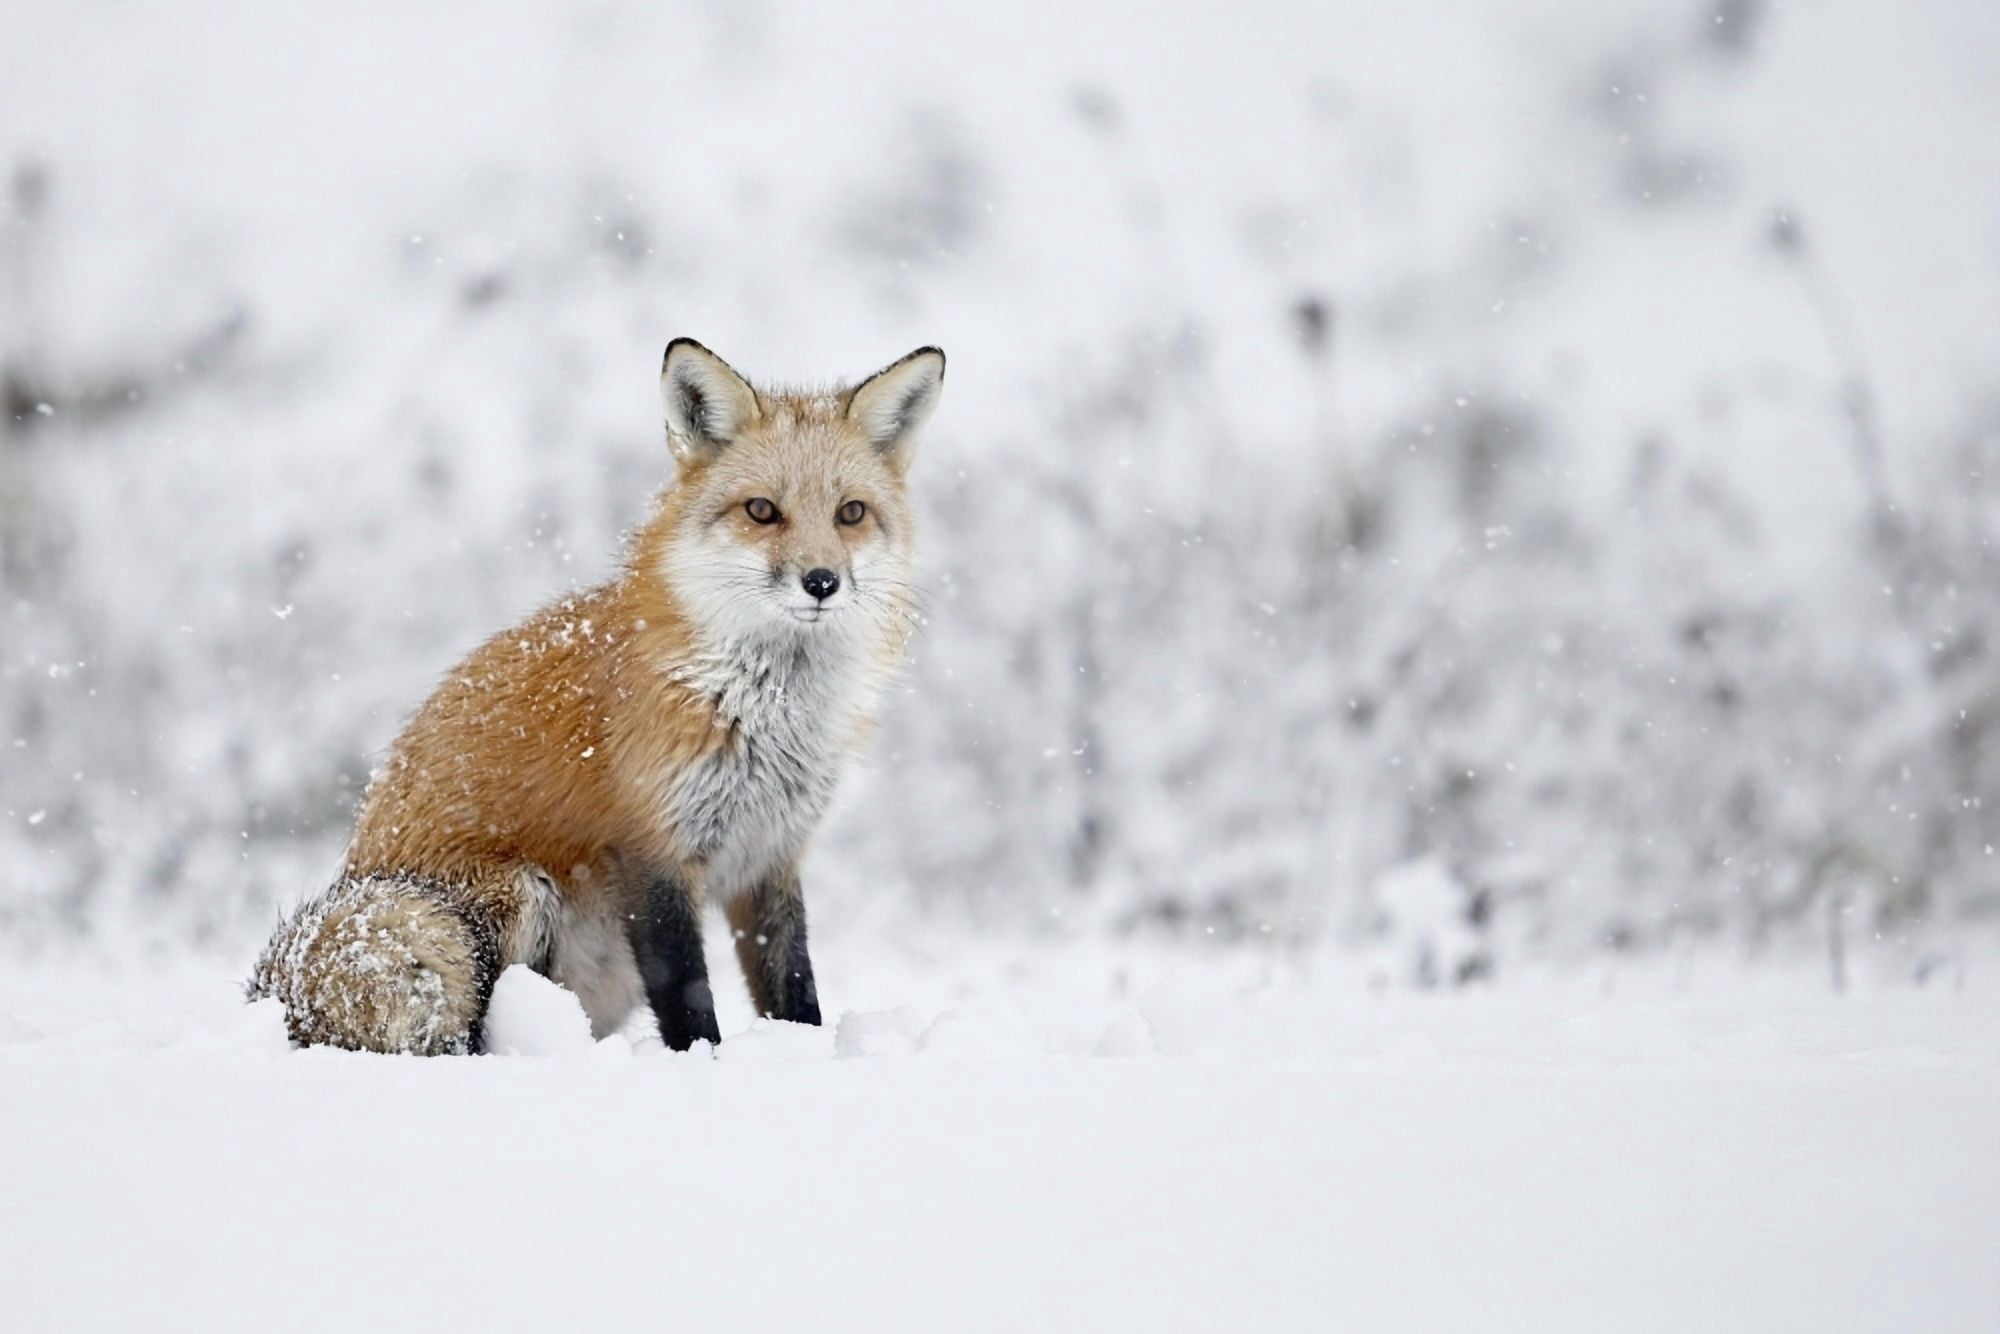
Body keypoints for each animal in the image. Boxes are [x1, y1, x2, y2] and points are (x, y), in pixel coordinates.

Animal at [247, 338, 945, 1054]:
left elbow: (794, 985)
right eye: (761, 510)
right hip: (509, 897)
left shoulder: (769, 856)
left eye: (851, 513)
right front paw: (704, 1062)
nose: (822, 581)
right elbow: (688, 995)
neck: (761, 709)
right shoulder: (648, 849)